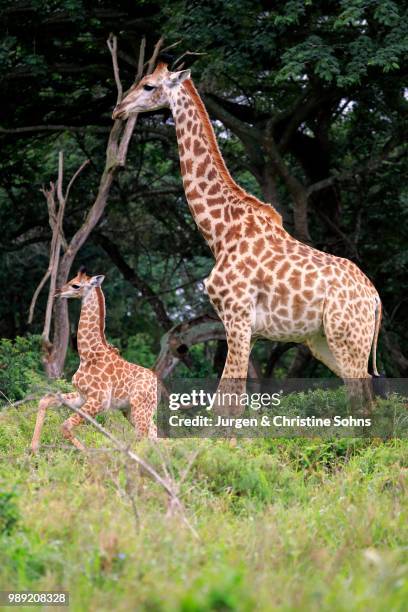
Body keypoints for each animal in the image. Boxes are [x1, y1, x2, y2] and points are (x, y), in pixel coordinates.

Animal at [29, 266, 158, 452]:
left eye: (75, 285)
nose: (58, 292)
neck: (87, 355)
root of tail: (156, 383)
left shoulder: (99, 400)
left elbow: (65, 426)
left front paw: (89, 456)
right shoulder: (82, 396)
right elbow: (45, 400)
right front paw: (33, 449)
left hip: (140, 407)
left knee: (142, 436)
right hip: (129, 410)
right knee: (153, 433)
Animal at [112, 61, 382, 396]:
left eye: (148, 85)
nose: (118, 109)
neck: (220, 231)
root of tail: (375, 298)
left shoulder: (237, 318)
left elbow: (227, 397)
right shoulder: (246, 330)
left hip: (346, 337)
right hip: (323, 341)